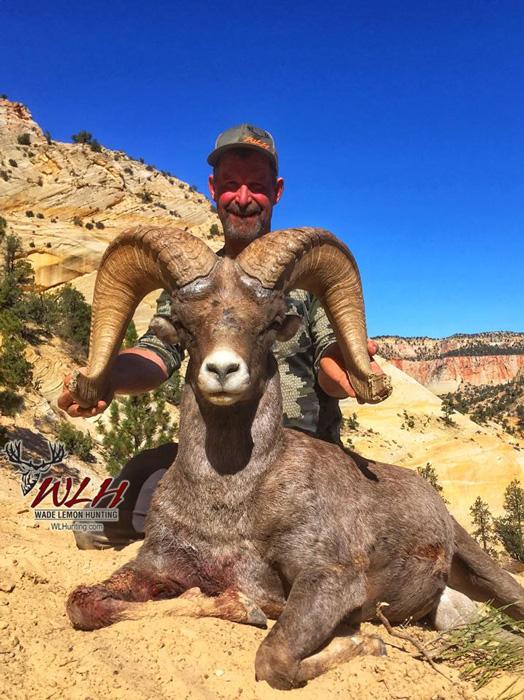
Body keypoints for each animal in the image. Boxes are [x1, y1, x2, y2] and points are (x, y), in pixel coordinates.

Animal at [65, 226, 524, 689]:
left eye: (269, 324)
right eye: (183, 324)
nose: (223, 371)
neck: (228, 500)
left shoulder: (328, 580)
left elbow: (275, 658)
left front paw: (367, 643)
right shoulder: (153, 568)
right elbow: (83, 603)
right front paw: (238, 605)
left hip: (486, 569)